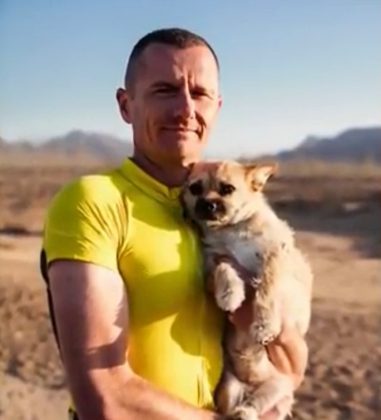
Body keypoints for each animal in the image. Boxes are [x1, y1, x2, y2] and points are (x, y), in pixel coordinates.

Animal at [181, 161, 312, 420]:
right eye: (195, 188)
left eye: (228, 188)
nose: (207, 205)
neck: (230, 229)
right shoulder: (213, 261)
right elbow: (224, 268)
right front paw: (229, 294)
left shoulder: (275, 256)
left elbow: (266, 291)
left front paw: (264, 325)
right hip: (230, 388)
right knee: (232, 408)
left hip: (279, 387)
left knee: (256, 404)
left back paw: (247, 411)